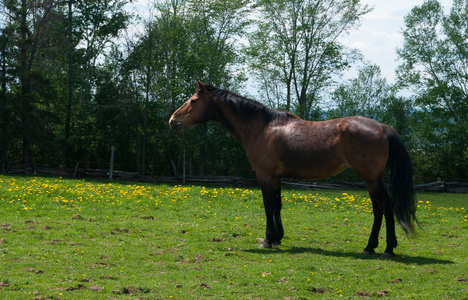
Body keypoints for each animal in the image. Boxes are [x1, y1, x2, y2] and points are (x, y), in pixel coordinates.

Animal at [169, 79, 416, 258]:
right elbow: (278, 206)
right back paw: (374, 247)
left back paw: (385, 249)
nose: (172, 121)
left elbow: (268, 207)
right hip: (372, 180)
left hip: (372, 180)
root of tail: (381, 127)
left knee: (385, 208)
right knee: (381, 208)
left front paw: (267, 240)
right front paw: (278, 237)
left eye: (193, 100)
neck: (261, 127)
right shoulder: (276, 178)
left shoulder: (264, 176)